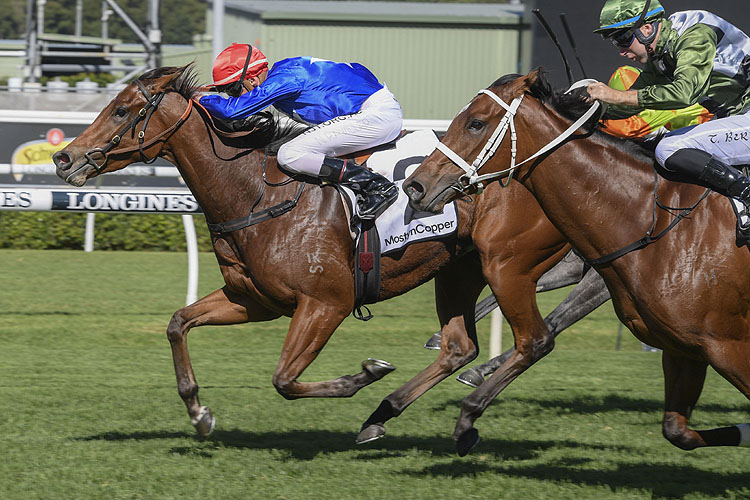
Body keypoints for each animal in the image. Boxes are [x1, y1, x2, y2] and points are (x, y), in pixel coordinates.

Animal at [53, 64, 604, 444]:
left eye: (121, 111)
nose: (64, 157)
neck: (255, 195)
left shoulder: (326, 302)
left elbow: (284, 379)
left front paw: (364, 373)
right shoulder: (253, 300)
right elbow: (177, 324)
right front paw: (199, 414)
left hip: (506, 264)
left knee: (535, 338)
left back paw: (457, 412)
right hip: (457, 268)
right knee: (457, 347)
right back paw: (382, 415)